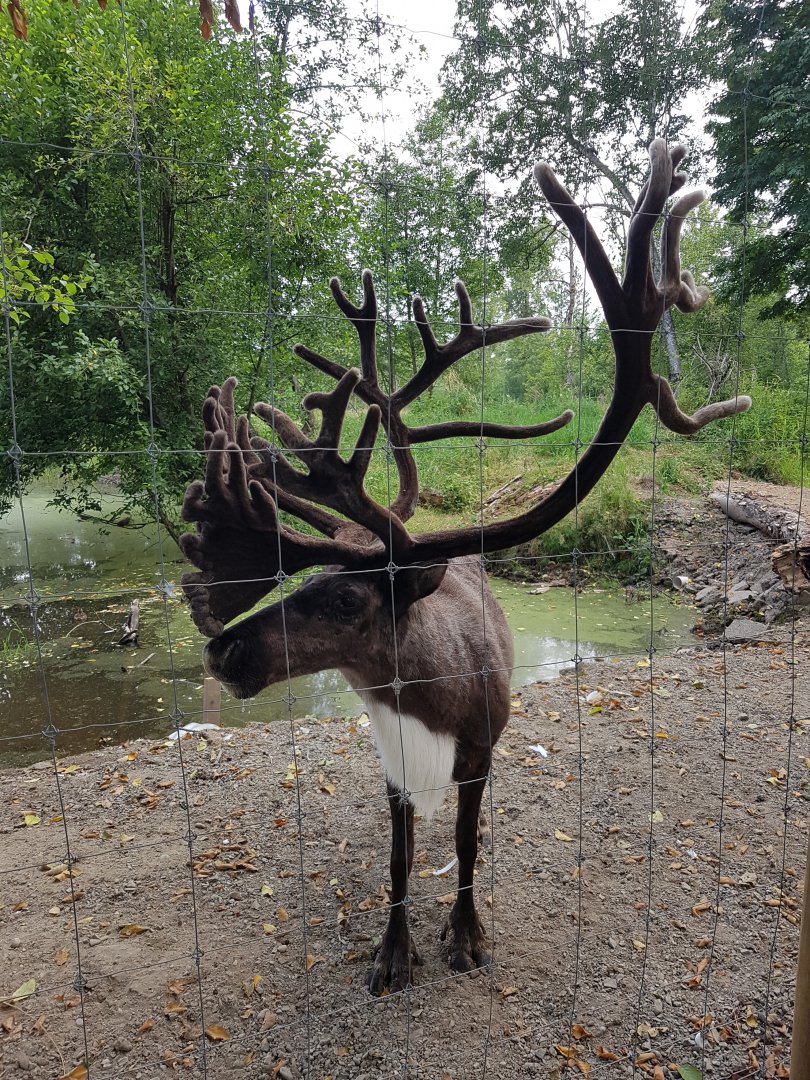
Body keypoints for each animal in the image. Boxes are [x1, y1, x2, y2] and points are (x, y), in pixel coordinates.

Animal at [179, 141, 751, 996]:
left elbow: (467, 847)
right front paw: (392, 950)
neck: (423, 700)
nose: (223, 648)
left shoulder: (481, 751)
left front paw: (467, 935)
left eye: (346, 602)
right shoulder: (389, 765)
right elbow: (398, 860)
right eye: (303, 581)